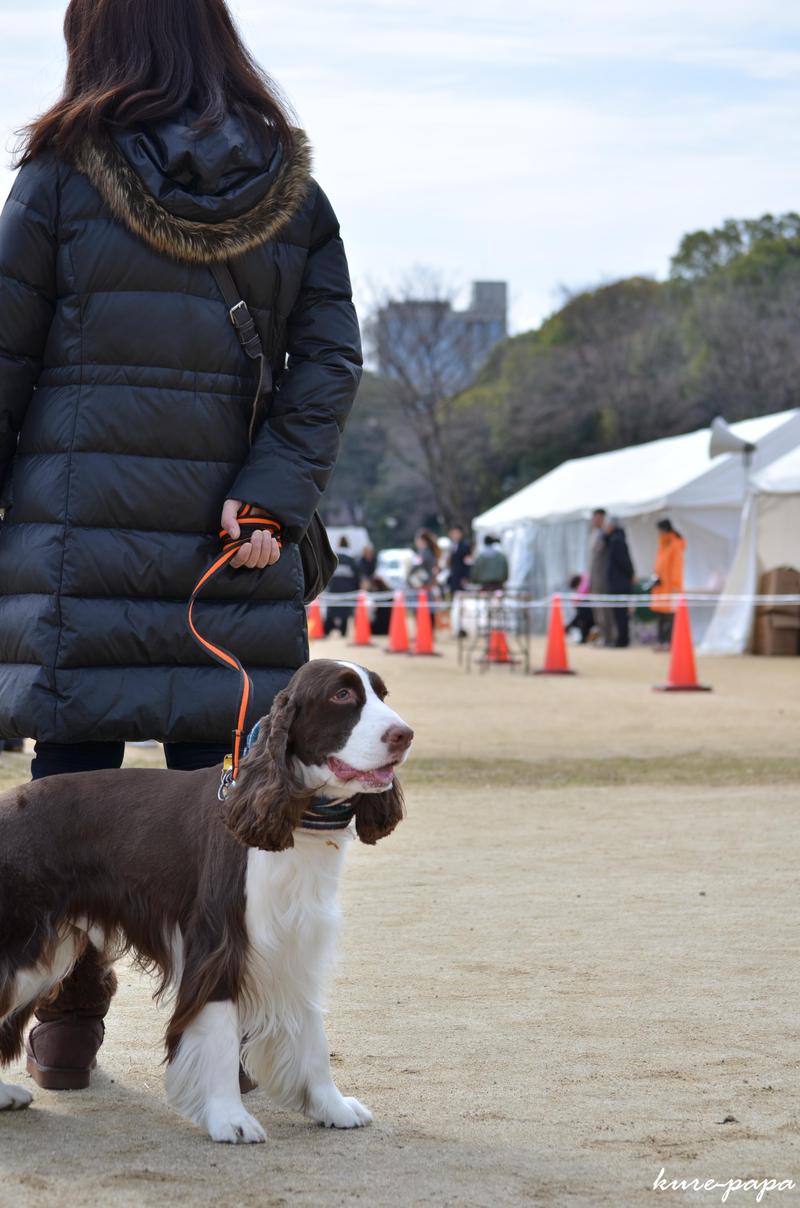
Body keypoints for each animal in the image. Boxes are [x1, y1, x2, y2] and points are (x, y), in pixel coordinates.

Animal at [0, 661, 413, 1140]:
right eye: (342, 695)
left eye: (382, 694)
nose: (405, 734)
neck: (292, 816)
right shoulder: (219, 941)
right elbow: (218, 1036)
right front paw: (230, 1118)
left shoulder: (297, 939)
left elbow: (312, 1032)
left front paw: (332, 1105)